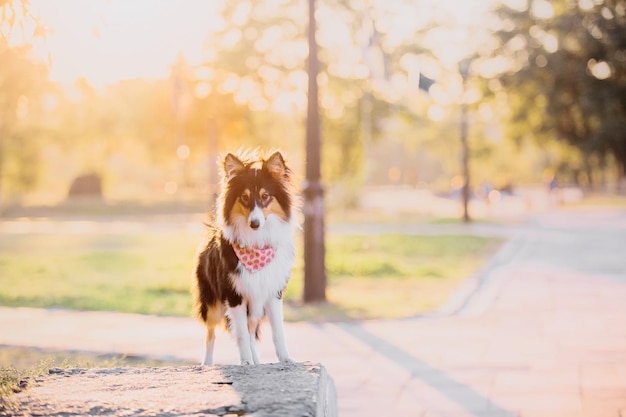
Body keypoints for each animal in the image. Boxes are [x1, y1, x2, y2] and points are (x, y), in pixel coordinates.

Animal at [191, 150, 296, 364]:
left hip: (255, 308)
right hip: (212, 303)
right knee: (211, 333)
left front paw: (285, 359)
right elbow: (240, 334)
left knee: (251, 332)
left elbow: (278, 331)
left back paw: (257, 361)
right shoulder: (233, 295)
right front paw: (245, 362)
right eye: (244, 198)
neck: (256, 244)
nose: (255, 223)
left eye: (265, 196)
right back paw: (207, 363)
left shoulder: (272, 292)